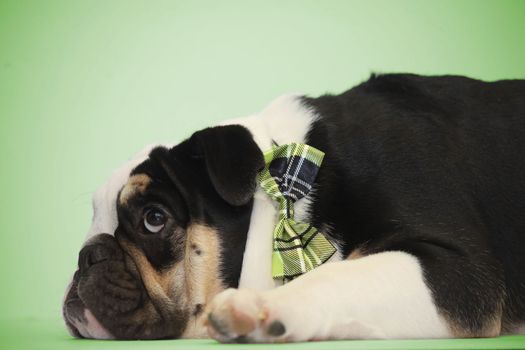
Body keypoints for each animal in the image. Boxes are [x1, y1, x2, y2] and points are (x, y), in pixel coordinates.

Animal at [62, 74, 524, 342]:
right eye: (93, 219)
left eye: (154, 219)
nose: (87, 255)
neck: (287, 189)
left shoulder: (458, 270)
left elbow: (339, 275)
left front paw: (261, 307)